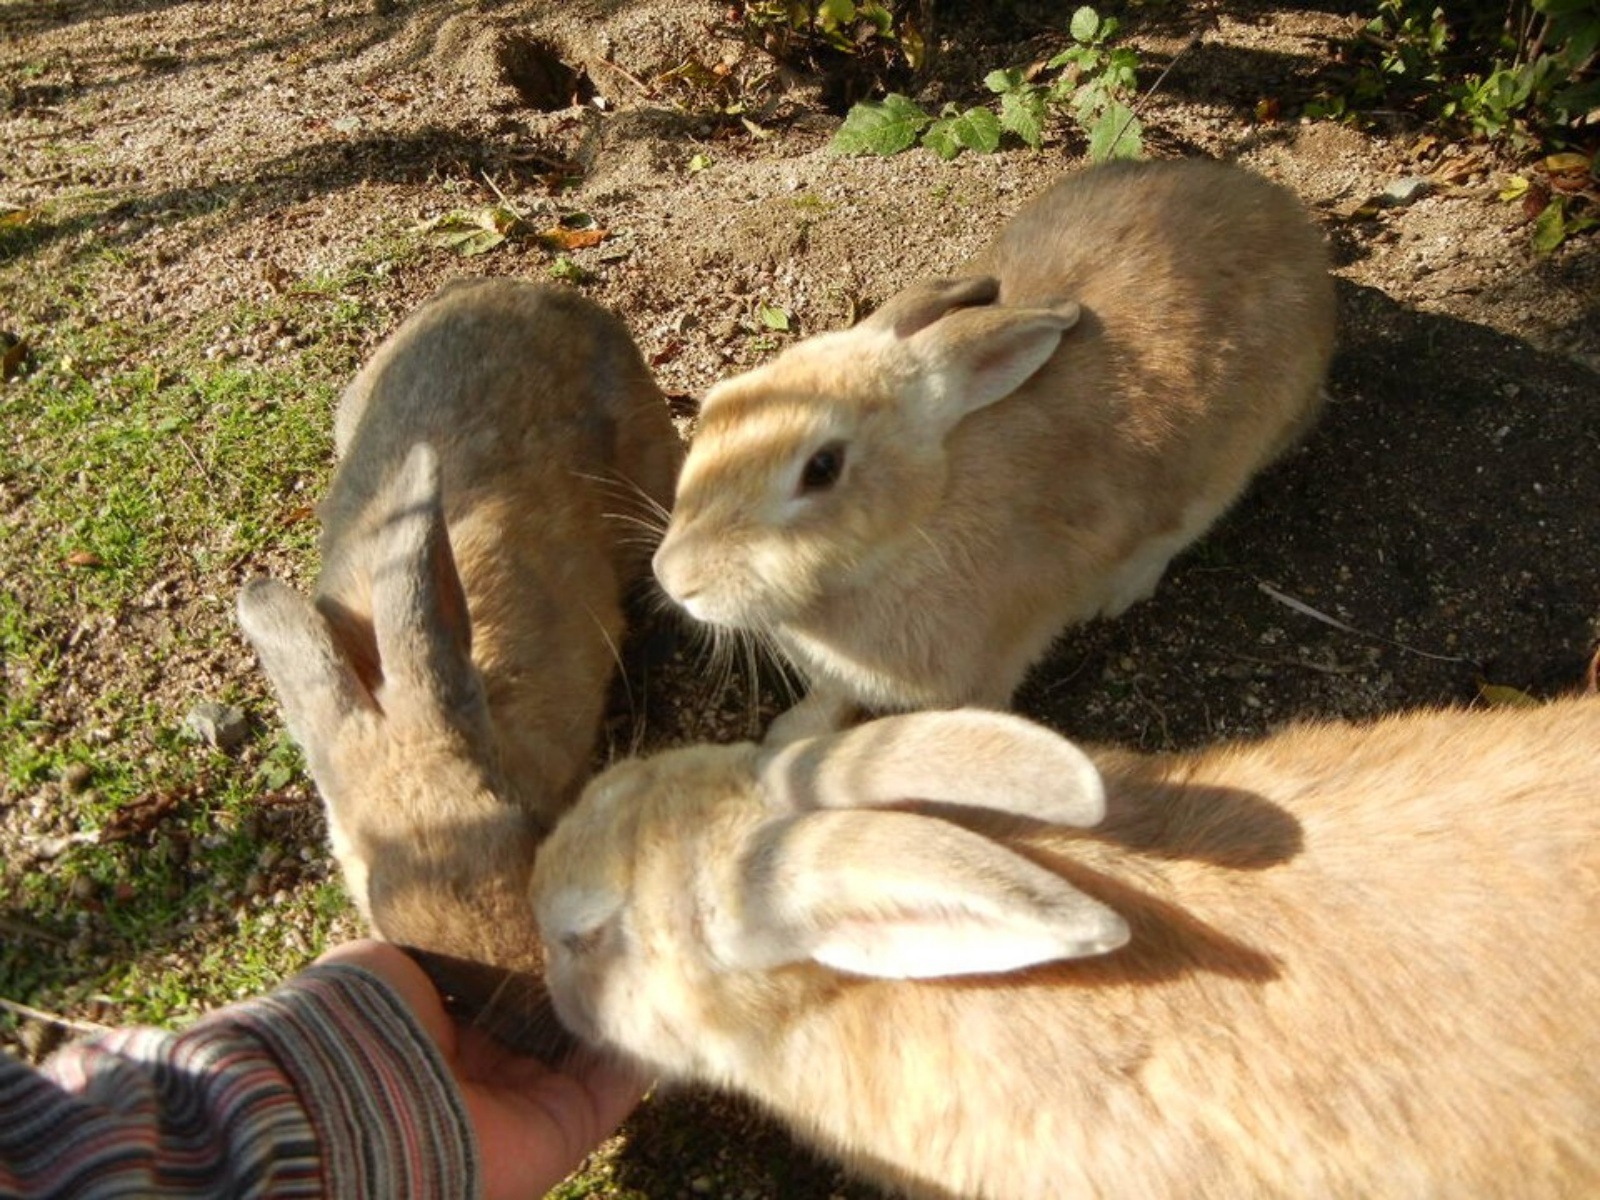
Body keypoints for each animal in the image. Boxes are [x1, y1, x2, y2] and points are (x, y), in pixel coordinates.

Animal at [651, 158, 1337, 738]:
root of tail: (1289, 221)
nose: (674, 579)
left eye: (821, 469)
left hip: (1226, 464)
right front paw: (786, 738)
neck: (916, 527)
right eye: (718, 404)